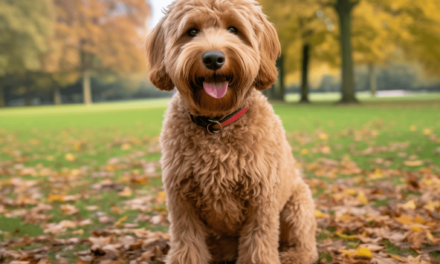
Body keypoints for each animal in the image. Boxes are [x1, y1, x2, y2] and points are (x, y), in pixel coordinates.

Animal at [146, 0, 318, 264]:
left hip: (299, 202)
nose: (213, 58)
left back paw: (295, 255)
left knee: (307, 246)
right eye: (192, 31)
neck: (217, 123)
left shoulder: (262, 198)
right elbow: (187, 242)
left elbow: (259, 242)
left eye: (234, 29)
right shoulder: (181, 200)